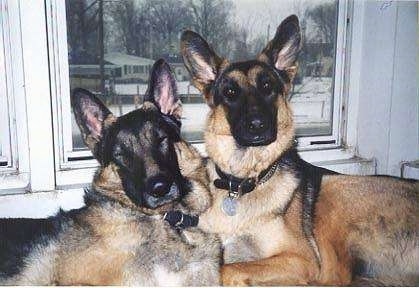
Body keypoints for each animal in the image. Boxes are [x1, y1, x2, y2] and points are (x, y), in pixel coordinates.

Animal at [181, 14, 419, 284]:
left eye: (267, 87)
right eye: (230, 92)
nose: (258, 125)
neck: (241, 184)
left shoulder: (301, 259)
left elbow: (227, 268)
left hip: (334, 190)